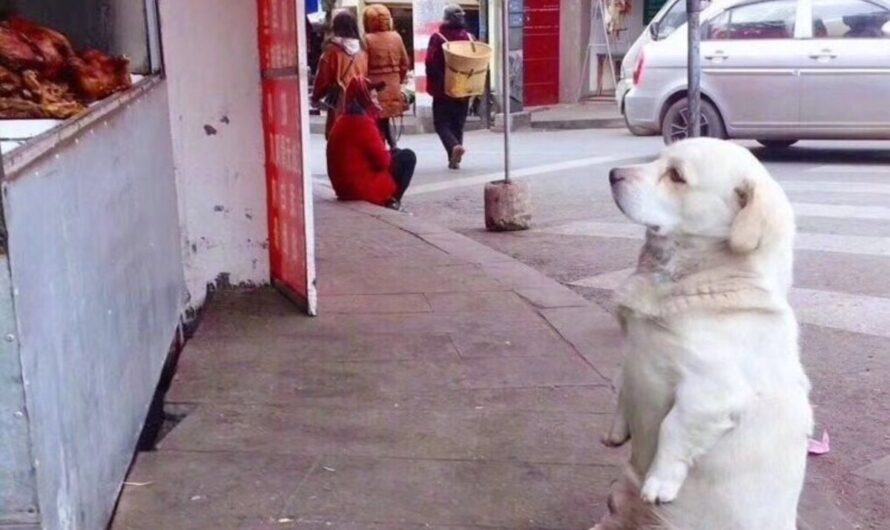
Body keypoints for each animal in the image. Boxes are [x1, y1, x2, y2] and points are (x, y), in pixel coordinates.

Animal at [588, 138, 812, 524]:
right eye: (659, 158)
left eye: (676, 175)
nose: (613, 174)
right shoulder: (630, 356)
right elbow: (623, 389)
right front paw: (616, 432)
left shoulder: (711, 391)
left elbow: (673, 429)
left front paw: (660, 482)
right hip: (615, 499)